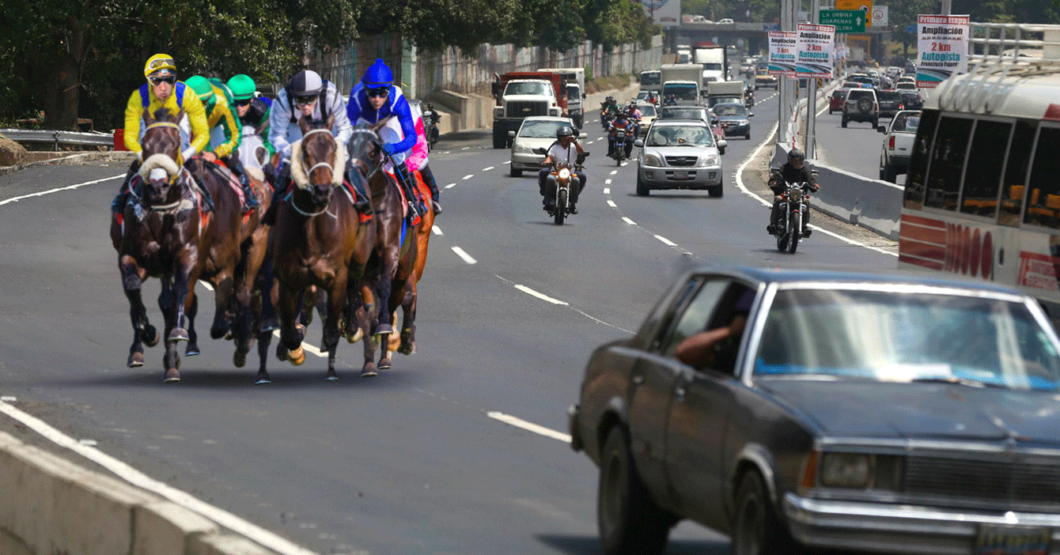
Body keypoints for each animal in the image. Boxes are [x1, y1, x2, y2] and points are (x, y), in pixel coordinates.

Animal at [111, 110, 204, 383]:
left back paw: (171, 362)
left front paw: (176, 338)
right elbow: (133, 291)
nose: (157, 186)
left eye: (176, 143)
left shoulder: (185, 254)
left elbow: (179, 294)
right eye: (144, 144)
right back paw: (140, 350)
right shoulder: (129, 258)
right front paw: (148, 334)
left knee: (168, 300)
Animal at [265, 118, 377, 381]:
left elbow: (331, 330)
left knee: (354, 286)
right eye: (305, 151)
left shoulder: (336, 277)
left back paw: (353, 326)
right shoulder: (287, 279)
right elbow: (289, 327)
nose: (322, 190)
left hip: (358, 258)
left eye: (334, 149)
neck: (311, 230)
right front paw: (292, 347)